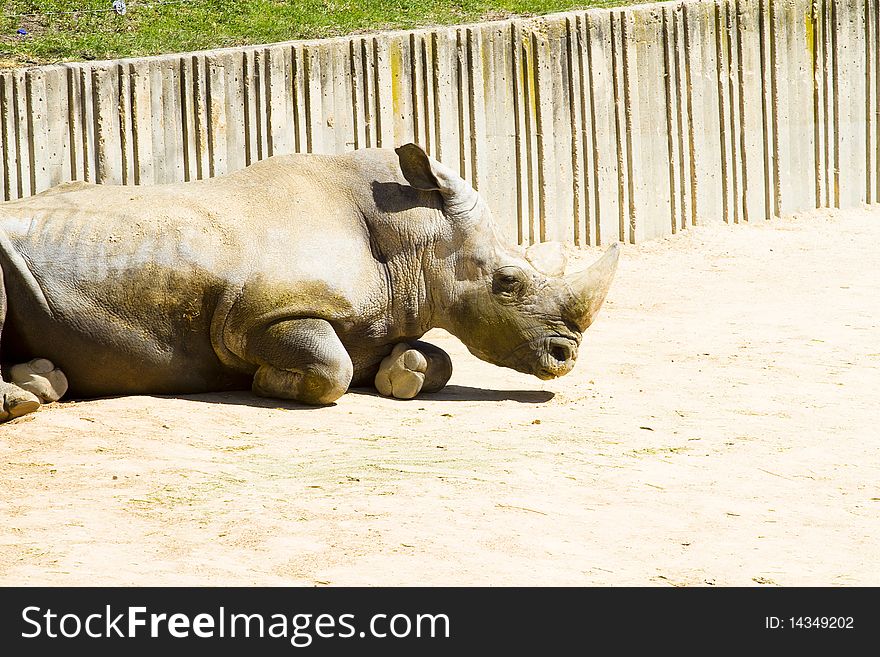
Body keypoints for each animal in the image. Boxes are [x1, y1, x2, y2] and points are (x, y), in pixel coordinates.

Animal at [0, 143, 620, 420]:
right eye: (507, 283)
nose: (567, 356)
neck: (416, 236)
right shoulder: (251, 319)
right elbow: (331, 367)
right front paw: (263, 383)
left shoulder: (382, 314)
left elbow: (435, 359)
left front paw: (404, 374)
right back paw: (26, 399)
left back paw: (41, 382)